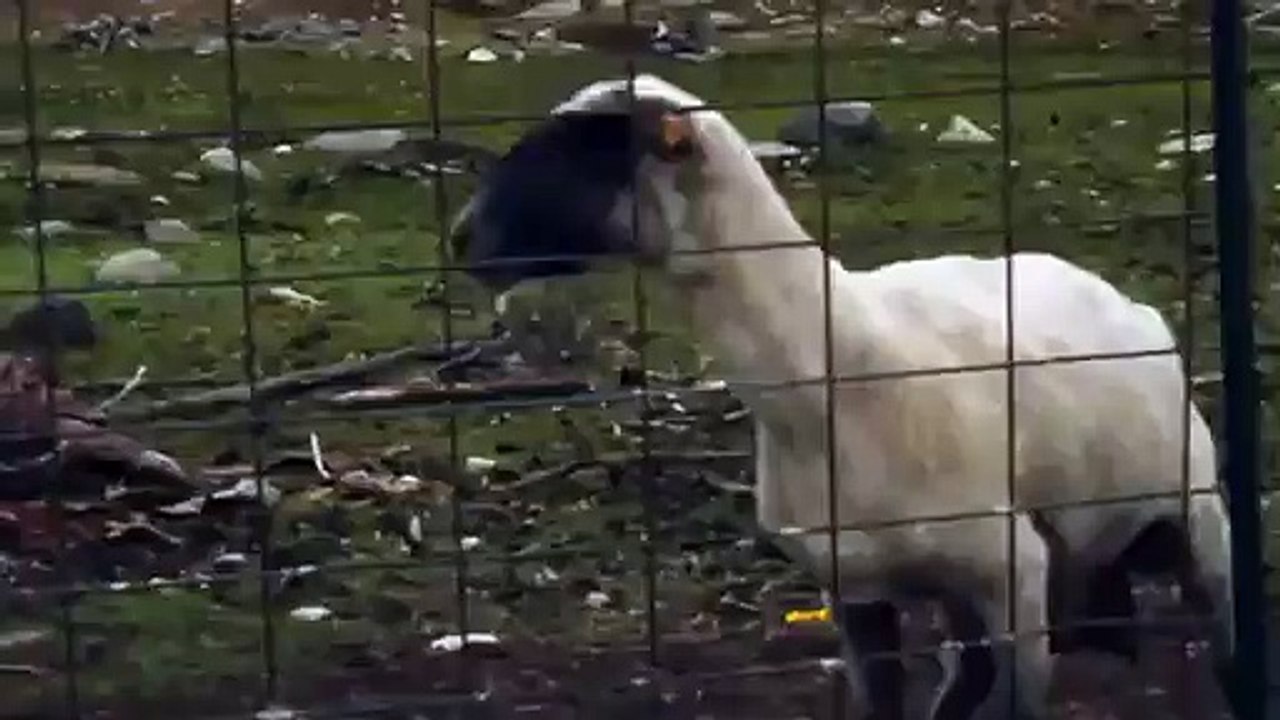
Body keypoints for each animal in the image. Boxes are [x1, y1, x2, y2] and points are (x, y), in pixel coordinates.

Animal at [448, 74, 1236, 719]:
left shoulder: (1013, 571)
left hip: (1195, 512)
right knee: (967, 677)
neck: (830, 380)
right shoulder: (855, 591)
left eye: (586, 149)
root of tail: (1124, 299)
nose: (460, 238)